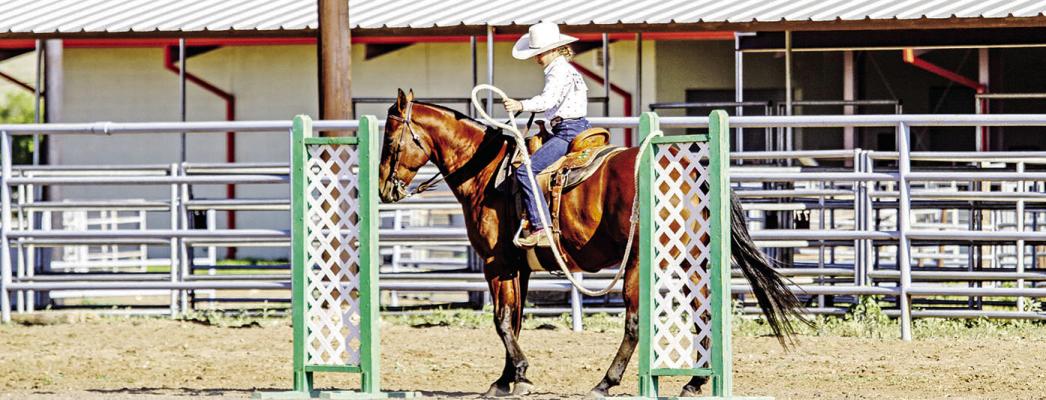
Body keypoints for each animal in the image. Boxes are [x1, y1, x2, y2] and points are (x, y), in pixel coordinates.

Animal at [377, 89, 805, 397]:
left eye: (390, 137)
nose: (385, 189)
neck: (488, 174)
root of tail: (688, 166)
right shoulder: (518, 268)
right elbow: (514, 320)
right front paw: (509, 379)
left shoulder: (496, 264)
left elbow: (501, 321)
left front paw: (516, 376)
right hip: (688, 258)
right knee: (702, 310)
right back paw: (694, 381)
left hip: (641, 261)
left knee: (635, 323)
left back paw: (606, 382)